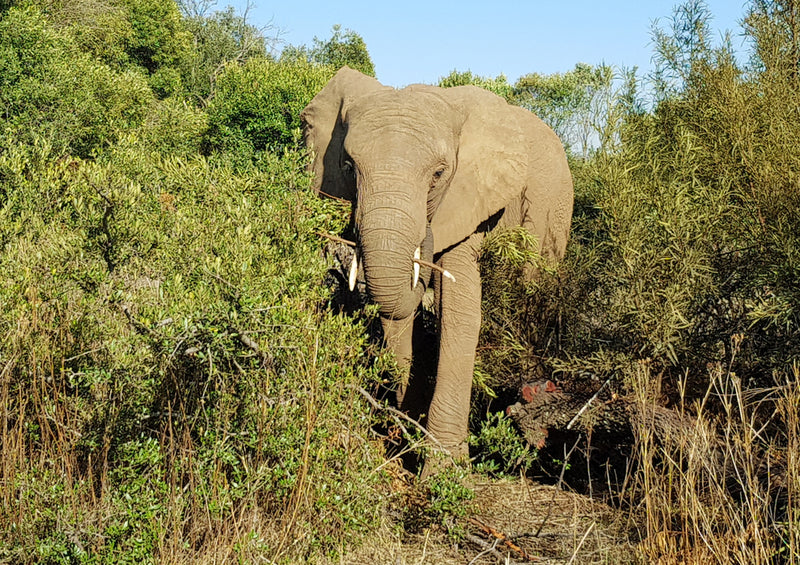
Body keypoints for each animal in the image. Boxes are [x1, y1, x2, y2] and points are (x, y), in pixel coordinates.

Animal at [298, 66, 568, 472]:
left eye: (439, 174)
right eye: (348, 168)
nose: (425, 235)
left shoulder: (470, 199)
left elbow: (458, 309)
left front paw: (443, 468)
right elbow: (397, 314)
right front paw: (405, 436)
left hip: (554, 212)